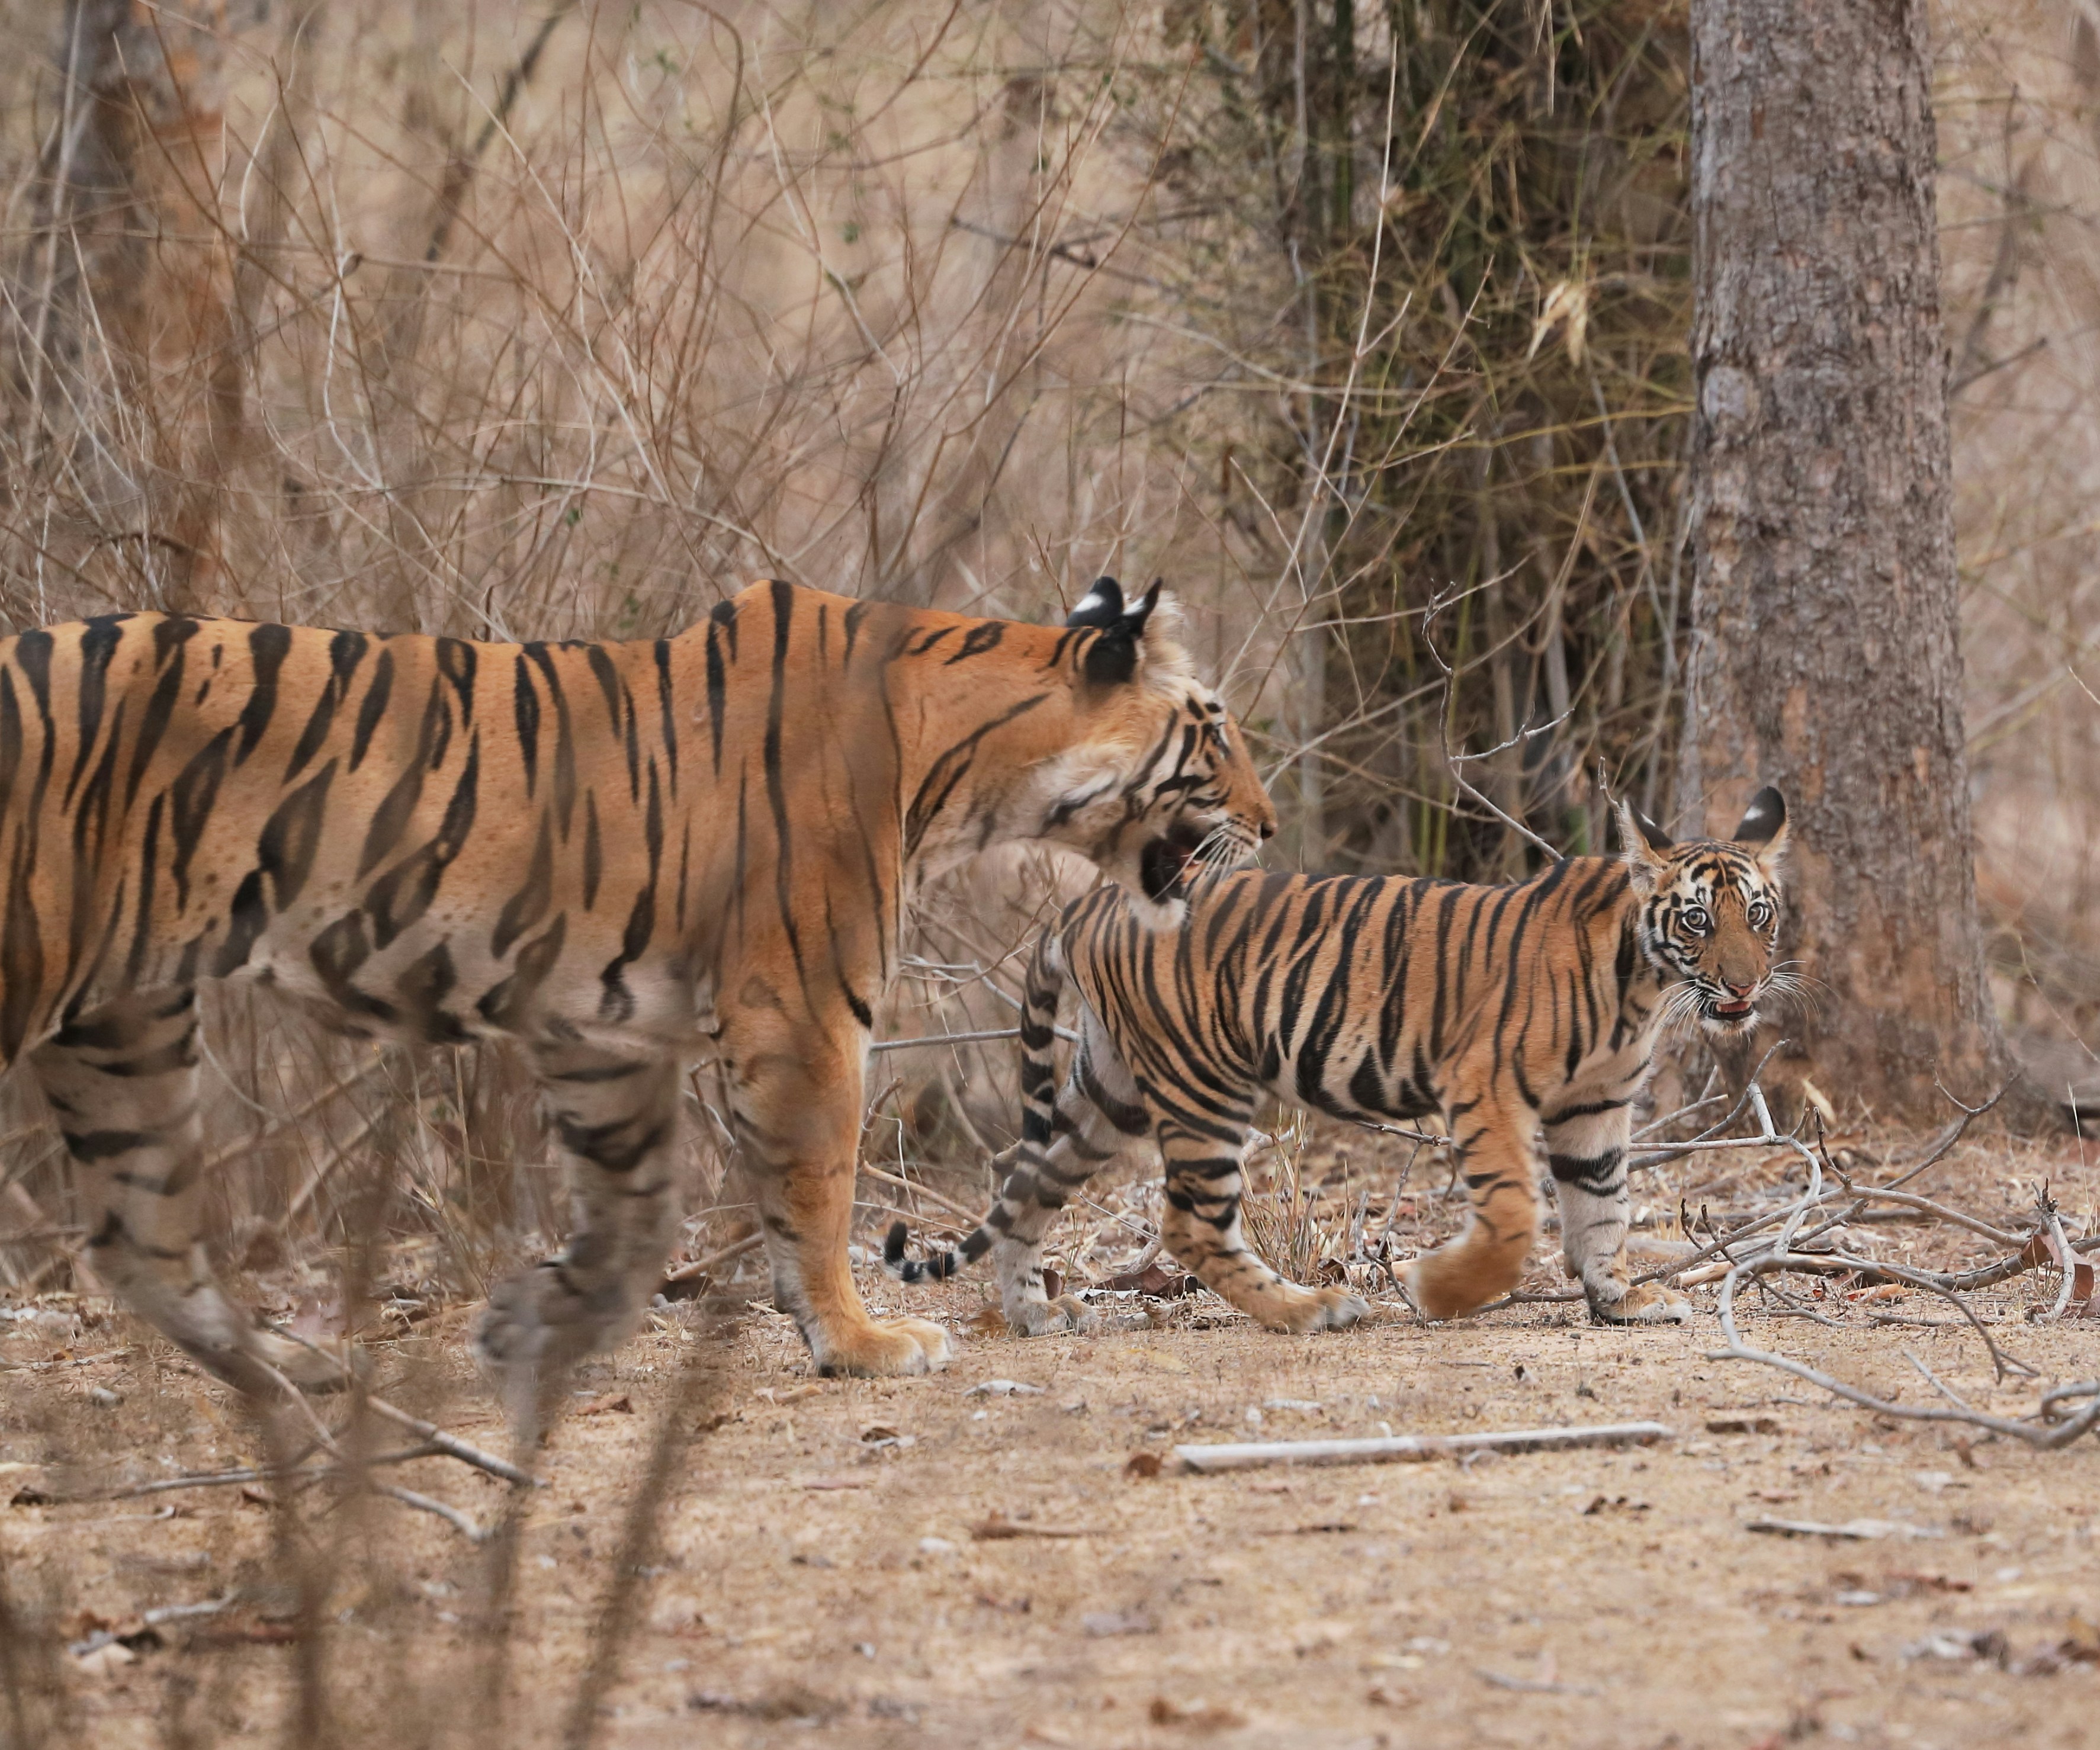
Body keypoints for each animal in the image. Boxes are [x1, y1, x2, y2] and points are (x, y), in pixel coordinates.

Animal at [0, 576, 1273, 1399]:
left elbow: (634, 1209)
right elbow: (819, 1190)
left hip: (123, 1032)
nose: (1267, 825)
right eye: (1217, 736)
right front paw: (860, 1342)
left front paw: (537, 1324)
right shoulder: (807, 1010)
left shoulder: (598, 1031)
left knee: (141, 1243)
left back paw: (293, 1375)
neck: (961, 762)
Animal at [887, 790, 1790, 1334]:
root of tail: (1088, 902)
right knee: (1189, 1221)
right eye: (1698, 920)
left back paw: (1033, 1314)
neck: (1640, 980)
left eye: (1759, 916)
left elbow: (1602, 1208)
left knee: (1021, 1172)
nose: (1746, 985)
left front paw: (1621, 1298)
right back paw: (1308, 1307)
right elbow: (1514, 1216)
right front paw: (1437, 1290)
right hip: (1202, 1082)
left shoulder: (1594, 1106)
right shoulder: (1485, 1088)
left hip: (1108, 1093)